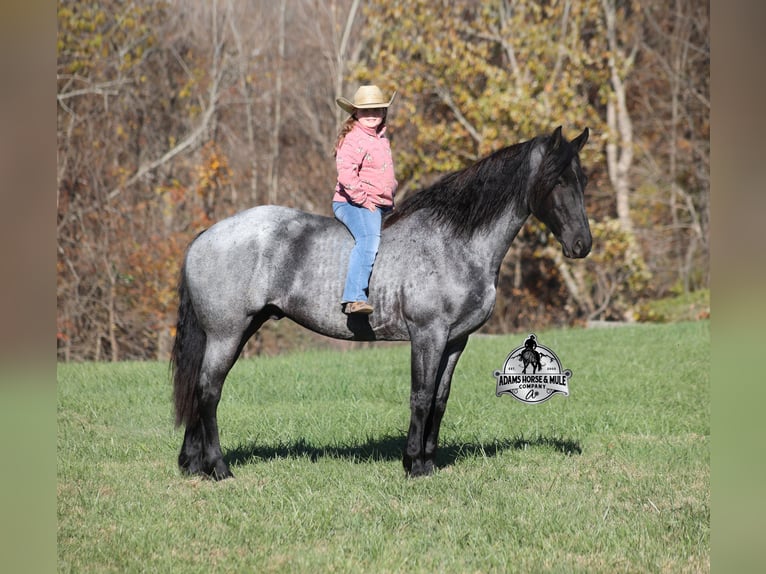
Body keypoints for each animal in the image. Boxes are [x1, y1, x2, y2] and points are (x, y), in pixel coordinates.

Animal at [171, 126, 591, 480]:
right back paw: (219, 468)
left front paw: (428, 462)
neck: (453, 243)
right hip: (227, 333)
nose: (582, 245)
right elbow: (420, 397)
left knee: (198, 388)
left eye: (582, 180)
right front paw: (414, 466)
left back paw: (193, 464)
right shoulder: (427, 335)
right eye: (557, 180)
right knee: (208, 390)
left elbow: (440, 399)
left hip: (237, 330)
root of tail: (206, 235)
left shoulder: (456, 340)